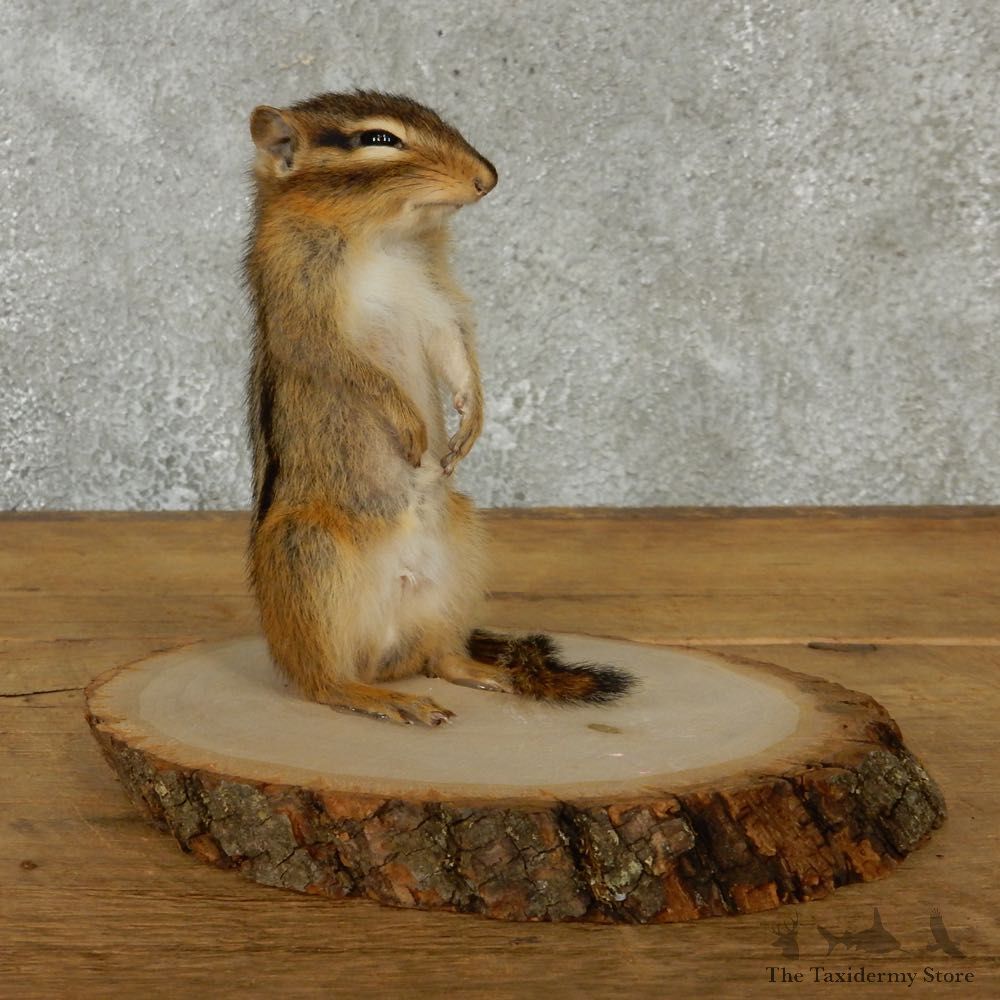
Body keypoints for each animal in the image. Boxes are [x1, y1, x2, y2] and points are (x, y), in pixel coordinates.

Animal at [244, 90, 633, 726]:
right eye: (379, 139)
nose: (487, 178)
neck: (384, 240)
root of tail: (381, 656)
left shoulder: (437, 305)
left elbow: (456, 354)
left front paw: (470, 422)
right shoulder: (304, 309)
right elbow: (351, 368)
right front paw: (410, 427)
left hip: (462, 545)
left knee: (439, 658)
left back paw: (482, 673)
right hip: (307, 555)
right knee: (321, 682)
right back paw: (380, 699)